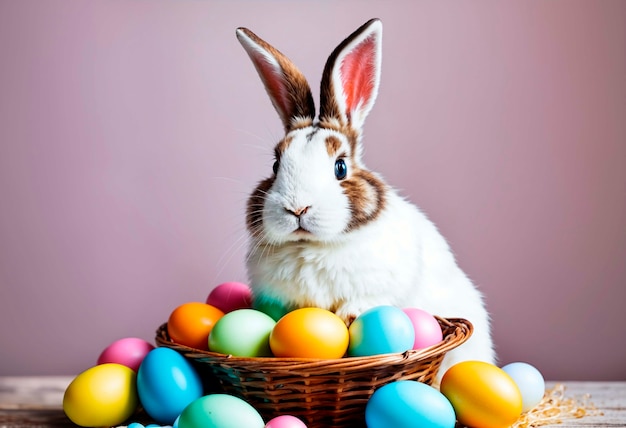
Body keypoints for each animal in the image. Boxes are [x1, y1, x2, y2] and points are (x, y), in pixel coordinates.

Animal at [236, 18, 494, 376]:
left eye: (340, 167)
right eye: (276, 165)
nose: (297, 208)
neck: (312, 246)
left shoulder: (382, 288)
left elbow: (364, 305)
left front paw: (352, 316)